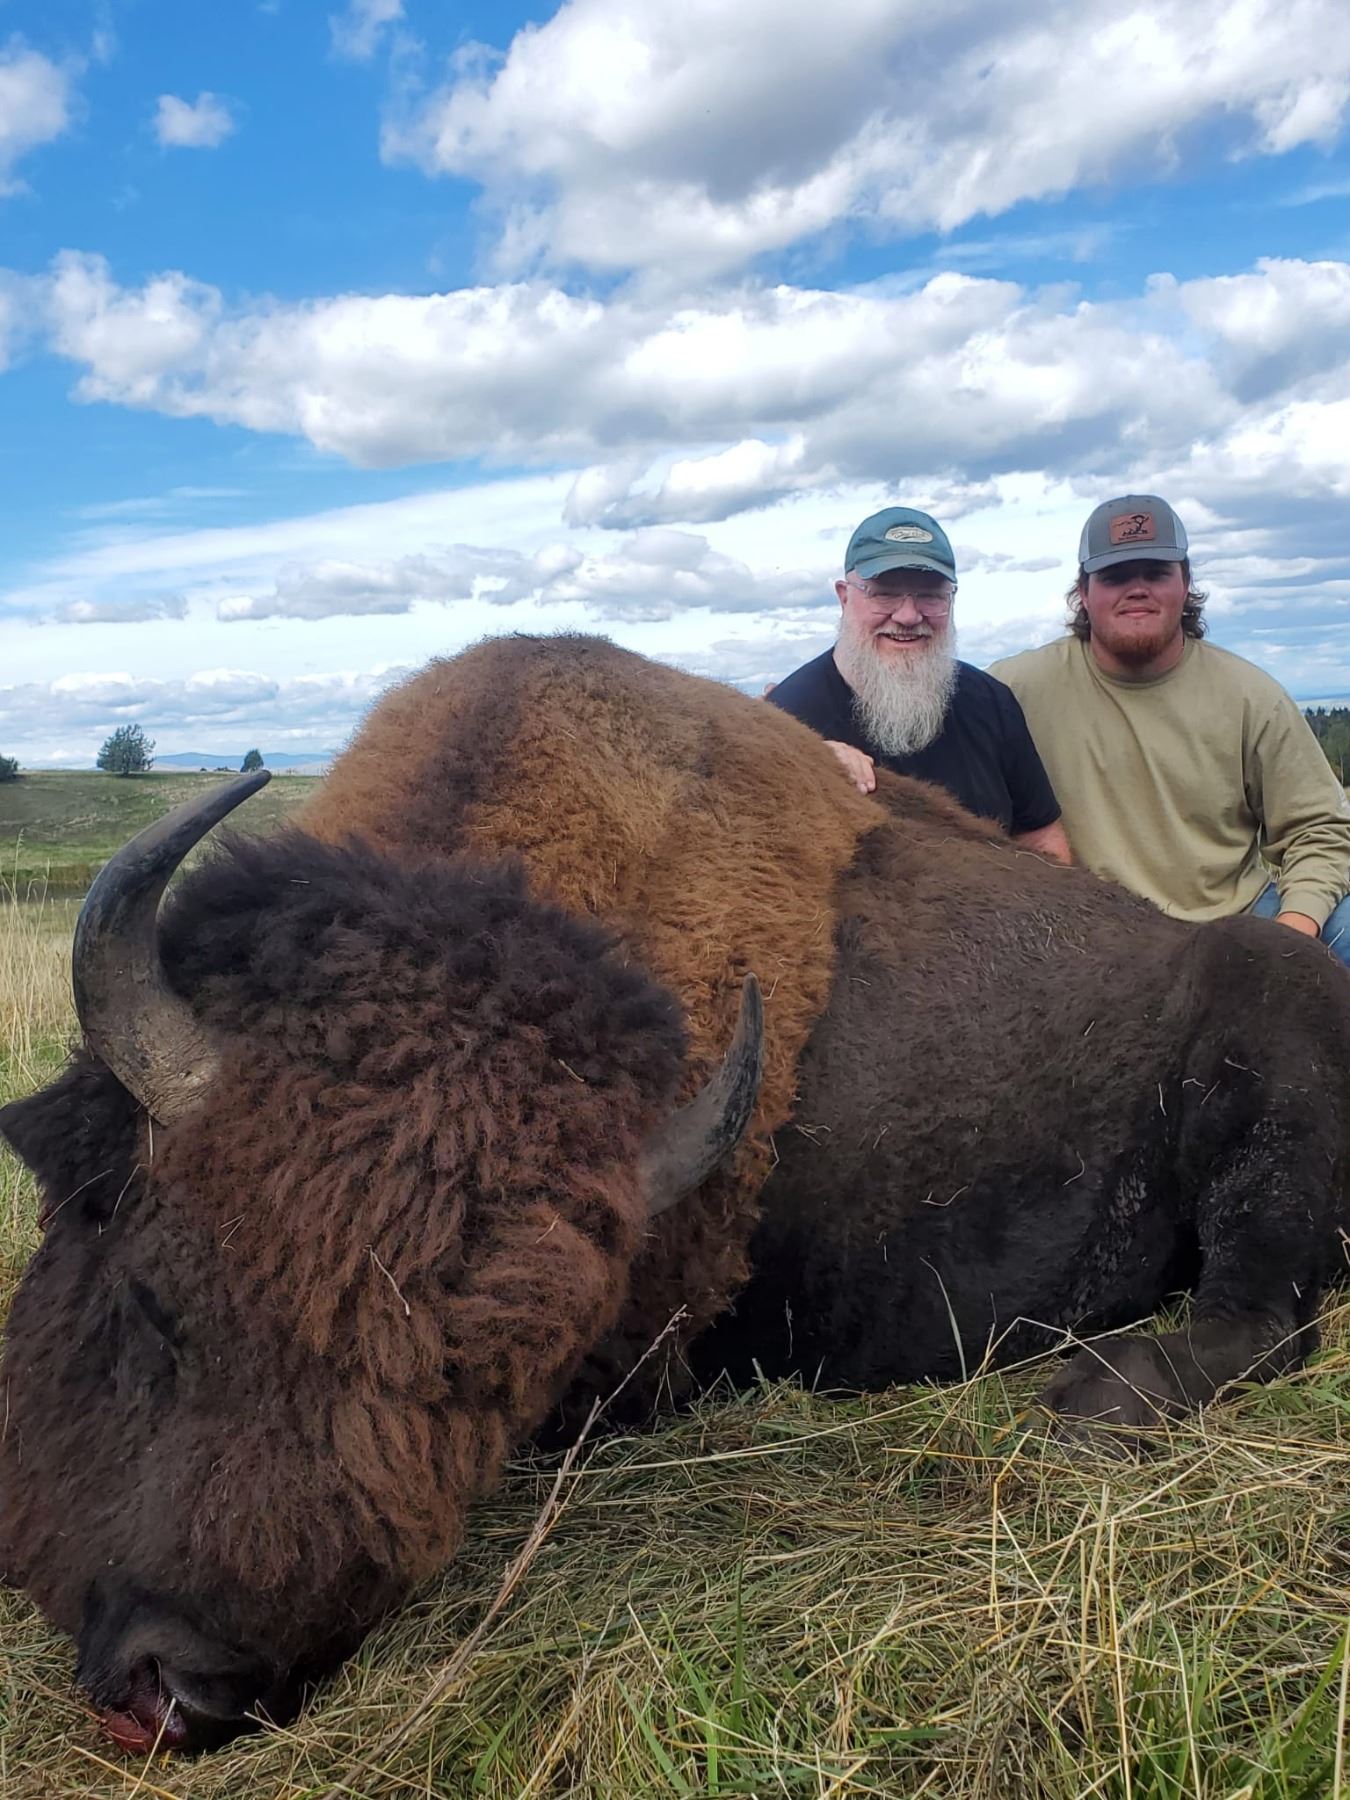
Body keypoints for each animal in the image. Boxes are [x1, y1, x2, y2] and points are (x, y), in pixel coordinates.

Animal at [1, 633, 1348, 1754]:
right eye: (155, 1305)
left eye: (484, 1398)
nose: (183, 1686)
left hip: (1274, 1090)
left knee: (1264, 1308)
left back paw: (1091, 1400)